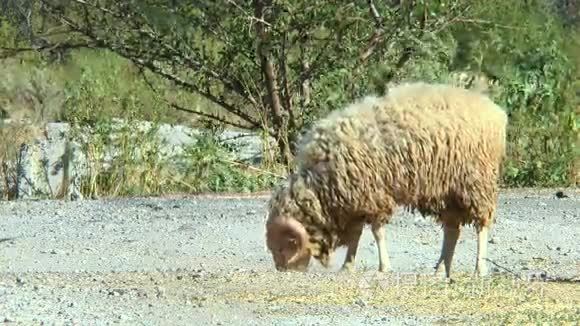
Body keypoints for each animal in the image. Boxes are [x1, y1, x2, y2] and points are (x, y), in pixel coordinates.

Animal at [266, 81, 506, 278]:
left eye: (283, 246)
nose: (282, 269)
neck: (321, 185)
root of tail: (495, 112)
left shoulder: (373, 195)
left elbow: (377, 233)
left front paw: (383, 267)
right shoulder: (355, 201)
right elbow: (356, 235)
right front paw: (347, 266)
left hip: (477, 183)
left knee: (481, 226)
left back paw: (479, 268)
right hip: (449, 192)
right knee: (452, 231)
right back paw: (441, 270)